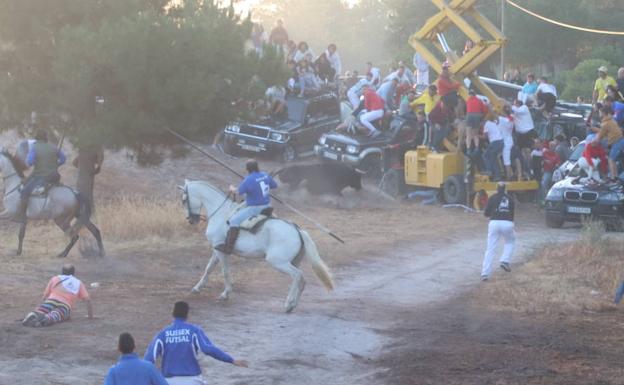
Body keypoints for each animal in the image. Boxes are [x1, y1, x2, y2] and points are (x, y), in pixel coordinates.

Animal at [183, 180, 334, 312]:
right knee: (302, 280)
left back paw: (288, 304)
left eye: (184, 200)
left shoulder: (221, 251)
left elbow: (225, 271)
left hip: (277, 262)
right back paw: (293, 305)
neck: (221, 213)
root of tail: (297, 230)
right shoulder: (217, 249)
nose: (191, 220)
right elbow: (208, 268)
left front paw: (225, 294)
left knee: (297, 276)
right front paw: (197, 288)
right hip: (294, 261)